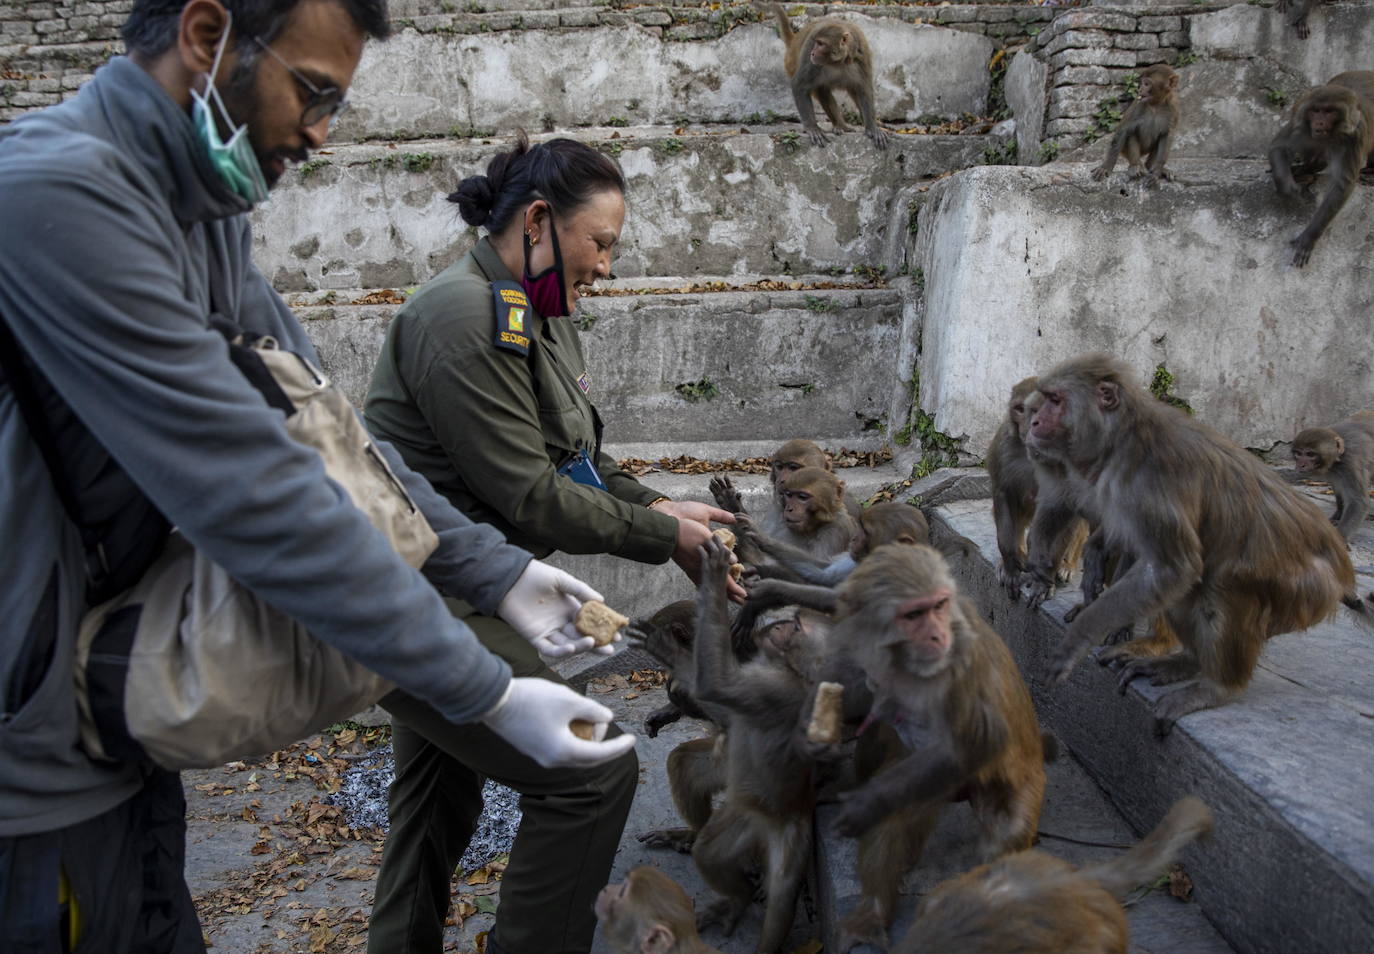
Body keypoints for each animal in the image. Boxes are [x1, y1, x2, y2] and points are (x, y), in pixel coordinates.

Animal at [758, 2, 884, 148]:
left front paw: (872, 127)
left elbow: (864, 89)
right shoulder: (810, 54)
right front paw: (813, 128)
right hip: (791, 64)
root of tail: (794, 43)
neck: (839, 61)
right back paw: (840, 125)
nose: (813, 53)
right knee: (821, 90)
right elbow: (799, 85)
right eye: (816, 43)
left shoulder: (862, 55)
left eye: (821, 44)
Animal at [1286, 412, 1374, 544]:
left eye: (1310, 454)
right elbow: (1338, 487)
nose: (1301, 464)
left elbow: (1358, 502)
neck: (1338, 456)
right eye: (1298, 453)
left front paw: (1341, 538)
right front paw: (1338, 516)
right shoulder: (1335, 471)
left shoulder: (1350, 463)